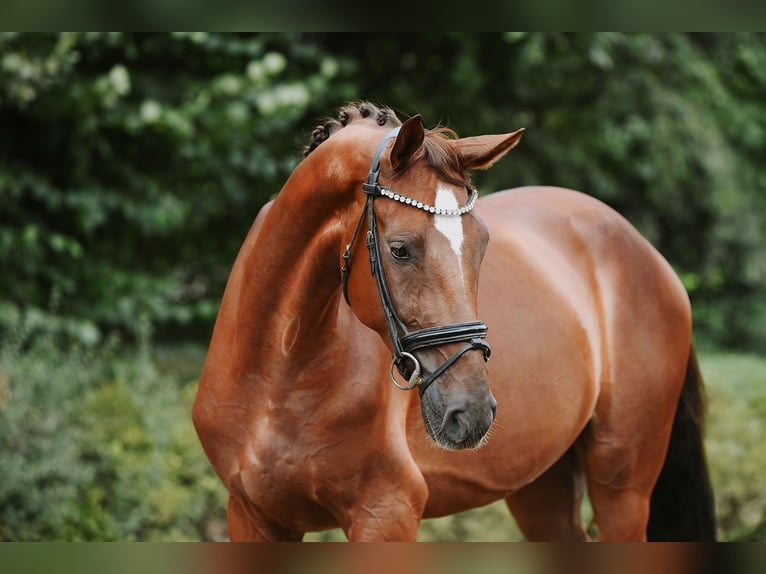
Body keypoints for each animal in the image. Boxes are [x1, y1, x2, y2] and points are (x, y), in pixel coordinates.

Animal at [192, 102, 716, 541]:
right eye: (400, 249)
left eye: (482, 244)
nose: (474, 411)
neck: (281, 370)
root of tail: (646, 250)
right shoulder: (253, 518)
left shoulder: (386, 513)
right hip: (540, 486)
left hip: (623, 486)